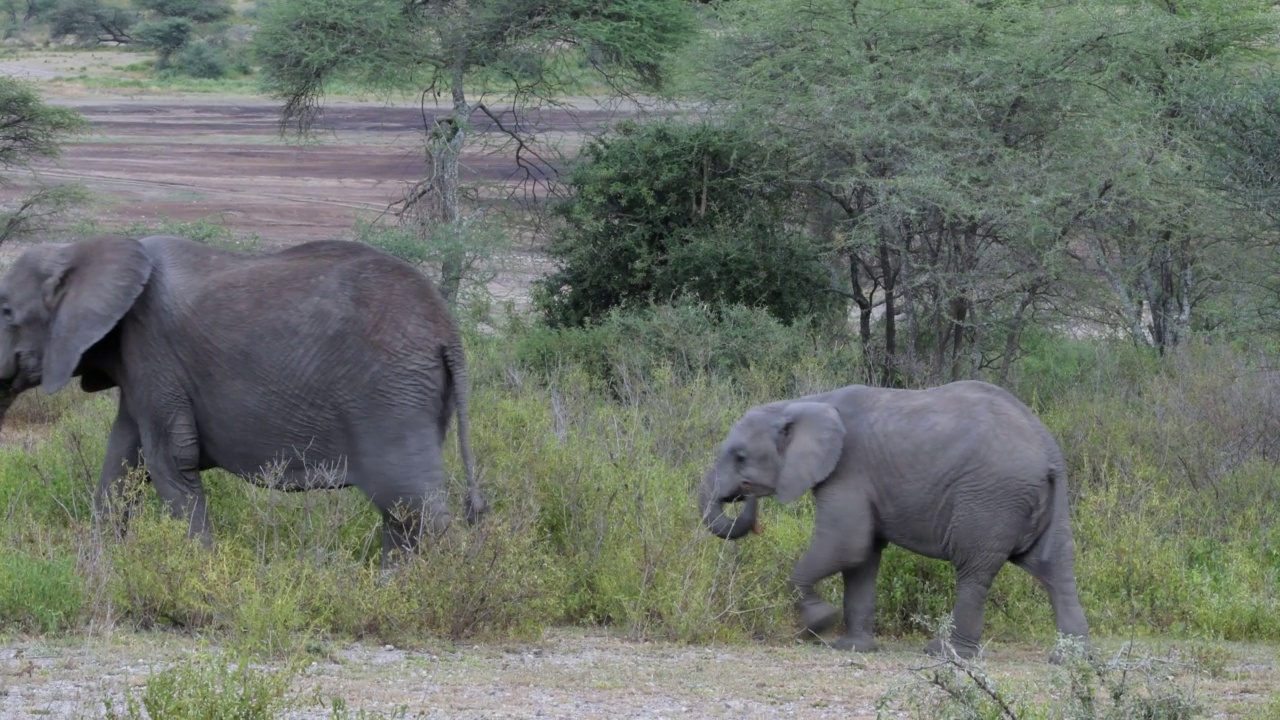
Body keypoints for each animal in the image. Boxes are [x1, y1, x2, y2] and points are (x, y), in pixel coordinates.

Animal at [0, 233, 483, 563]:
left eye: (5, 311)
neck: (86, 250)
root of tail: (449, 333)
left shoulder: (154, 350)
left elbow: (169, 460)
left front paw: (199, 573)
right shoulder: (139, 363)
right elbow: (123, 460)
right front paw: (100, 567)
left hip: (391, 393)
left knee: (411, 504)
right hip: (413, 391)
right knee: (403, 508)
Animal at [701, 379, 1090, 661]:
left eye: (740, 457)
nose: (744, 495)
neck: (802, 403)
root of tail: (1049, 451)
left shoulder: (848, 470)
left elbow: (847, 544)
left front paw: (819, 624)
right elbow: (862, 556)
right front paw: (853, 648)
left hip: (990, 499)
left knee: (974, 570)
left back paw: (947, 653)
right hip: (1042, 501)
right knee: (1055, 567)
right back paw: (1070, 659)